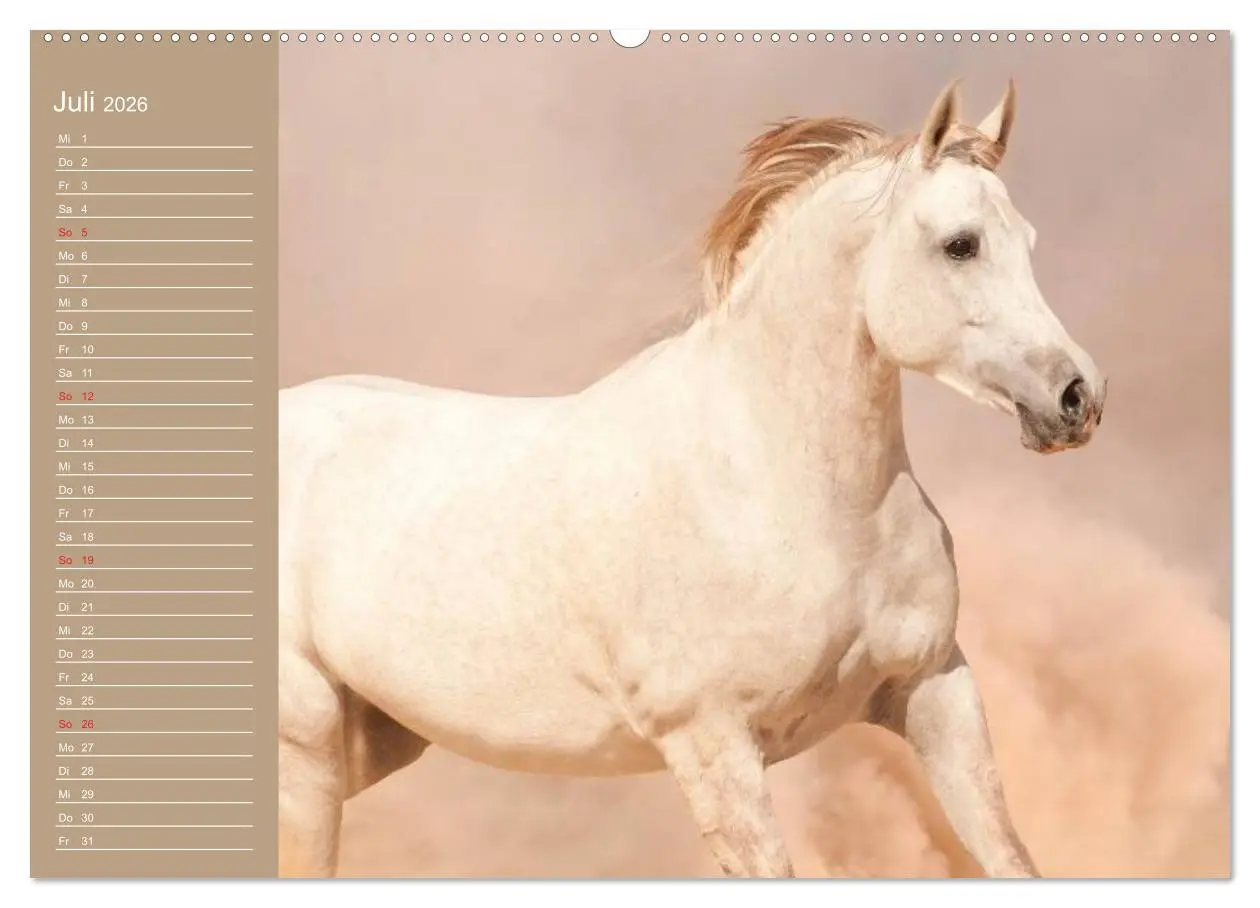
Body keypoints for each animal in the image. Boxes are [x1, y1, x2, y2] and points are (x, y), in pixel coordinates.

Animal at [276, 80, 1107, 879]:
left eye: (1027, 241)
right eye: (960, 245)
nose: (1077, 398)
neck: (793, 495)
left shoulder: (937, 691)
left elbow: (1009, 856)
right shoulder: (713, 747)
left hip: (374, 739)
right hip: (307, 747)